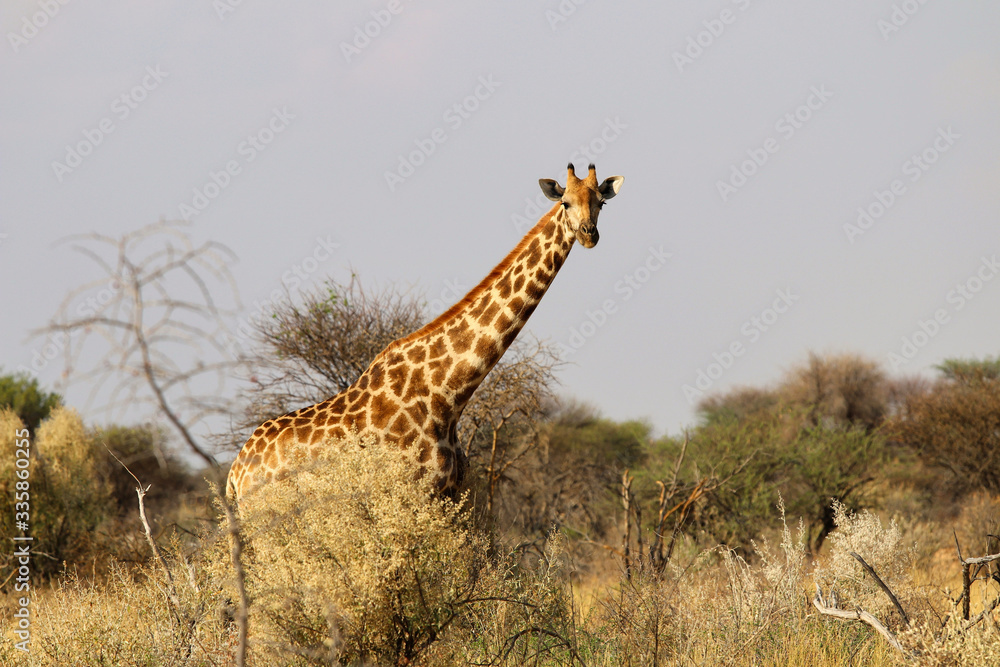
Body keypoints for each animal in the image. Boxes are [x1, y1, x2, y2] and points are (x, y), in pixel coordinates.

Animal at [226, 163, 624, 502]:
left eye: (601, 203)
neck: (448, 394)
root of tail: (234, 474)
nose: (589, 235)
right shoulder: (415, 495)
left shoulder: (450, 495)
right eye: (565, 202)